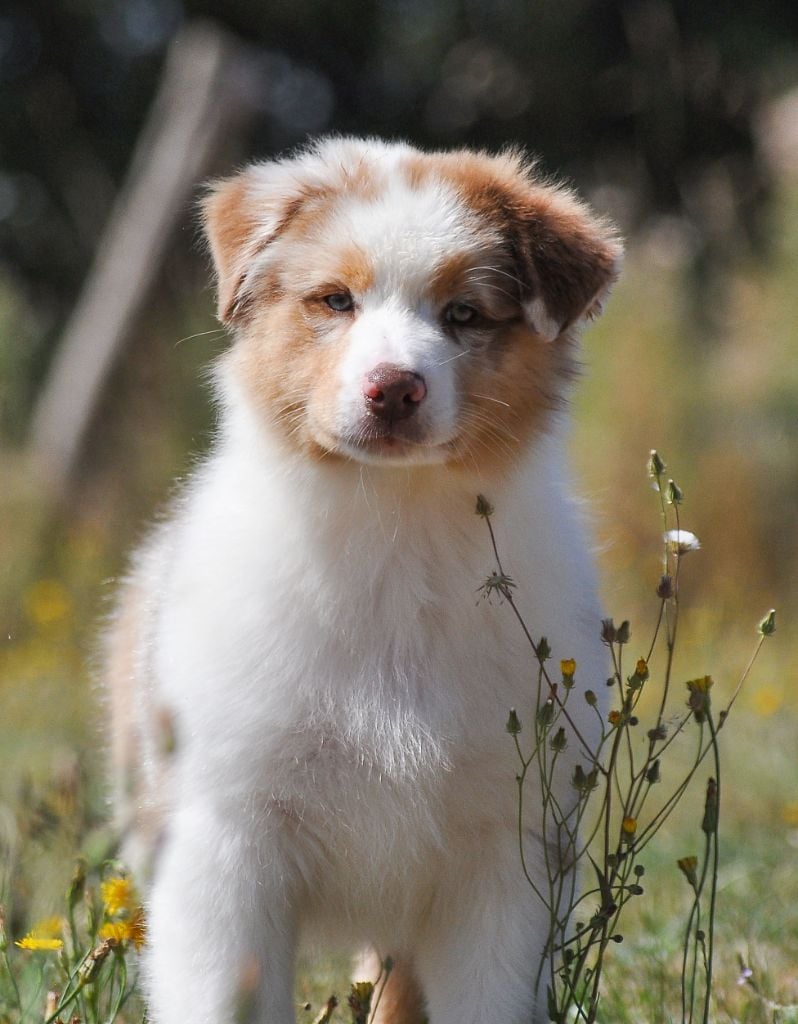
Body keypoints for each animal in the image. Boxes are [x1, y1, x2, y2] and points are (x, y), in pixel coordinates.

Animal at [106, 138, 622, 1024]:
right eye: (334, 301)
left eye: (463, 314)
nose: (394, 388)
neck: (394, 533)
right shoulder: (223, 840)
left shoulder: (506, 856)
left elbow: (486, 1000)